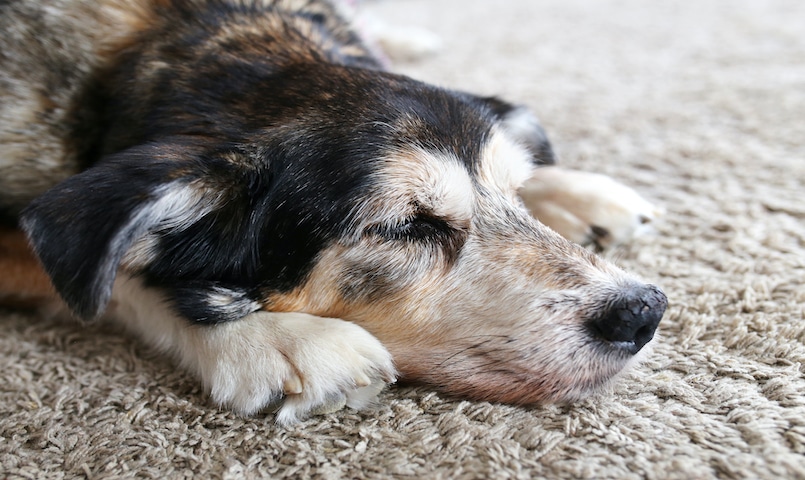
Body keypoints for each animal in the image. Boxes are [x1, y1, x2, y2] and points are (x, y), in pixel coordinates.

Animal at [0, 0, 664, 424]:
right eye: (408, 226)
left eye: (515, 195)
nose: (644, 311)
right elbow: (114, 276)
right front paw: (270, 338)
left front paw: (568, 187)